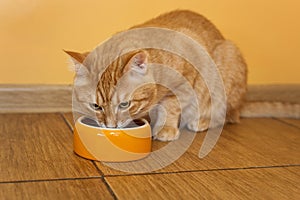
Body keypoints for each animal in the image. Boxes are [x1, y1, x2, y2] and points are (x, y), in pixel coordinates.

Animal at [67, 10, 247, 141]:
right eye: (95, 106)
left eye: (124, 104)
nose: (111, 127)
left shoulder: (185, 80)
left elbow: (171, 107)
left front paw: (166, 128)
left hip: (225, 69)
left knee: (223, 115)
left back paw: (201, 121)